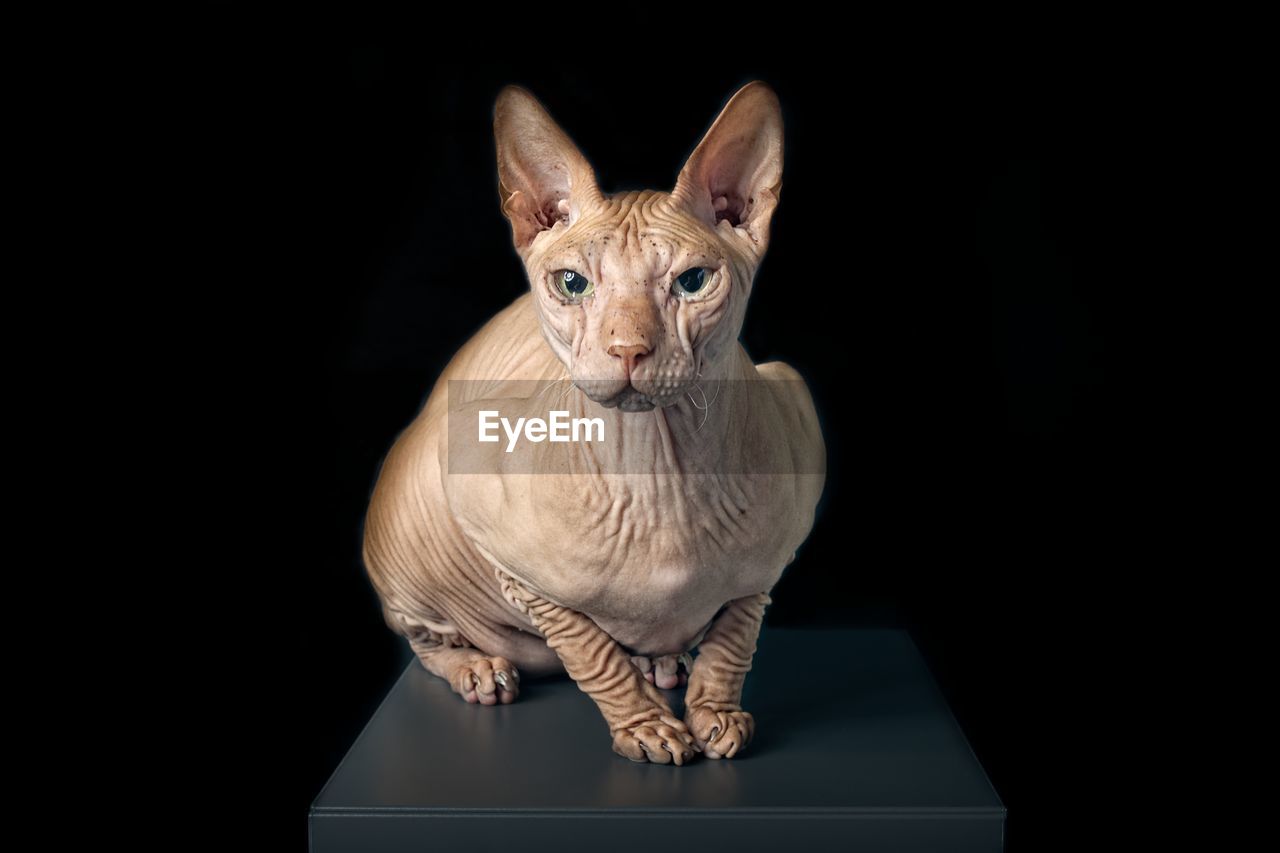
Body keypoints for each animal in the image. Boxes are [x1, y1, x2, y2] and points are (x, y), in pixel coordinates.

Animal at [360, 83, 824, 763]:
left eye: (693, 282)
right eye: (572, 284)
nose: (627, 349)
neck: (661, 472)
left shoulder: (772, 549)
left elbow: (736, 635)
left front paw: (715, 712)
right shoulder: (479, 495)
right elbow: (589, 648)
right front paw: (647, 723)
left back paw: (665, 662)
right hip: (413, 499)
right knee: (423, 639)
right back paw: (476, 668)